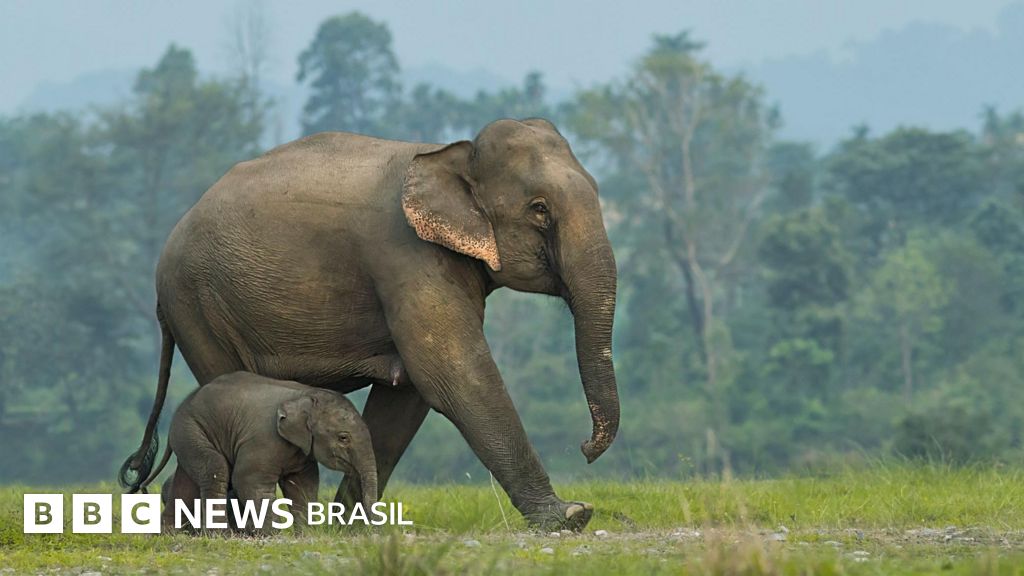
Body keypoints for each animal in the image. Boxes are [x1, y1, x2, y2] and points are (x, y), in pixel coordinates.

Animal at [152, 371, 377, 532]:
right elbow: (248, 479)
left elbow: (302, 485)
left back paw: (168, 534)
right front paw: (273, 535)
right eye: (343, 438)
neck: (305, 394)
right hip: (191, 428)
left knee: (187, 482)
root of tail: (184, 403)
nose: (371, 533)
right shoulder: (263, 440)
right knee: (216, 468)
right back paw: (220, 535)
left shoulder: (302, 452)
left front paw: (305, 534)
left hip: (189, 435)